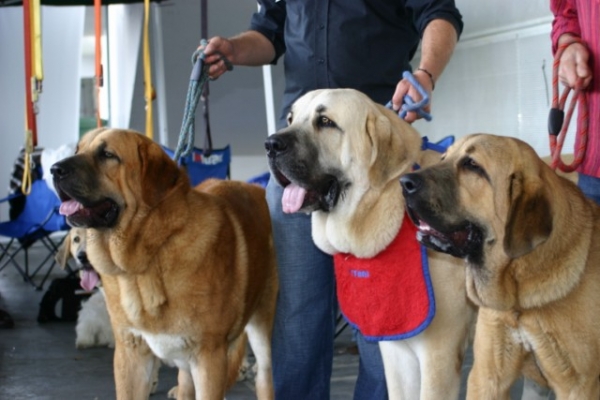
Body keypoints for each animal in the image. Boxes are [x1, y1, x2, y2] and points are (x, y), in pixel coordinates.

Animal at [50, 129, 278, 400]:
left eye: (107, 155)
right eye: (77, 150)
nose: (54, 170)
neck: (148, 257)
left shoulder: (209, 358)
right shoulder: (131, 356)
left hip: (263, 334)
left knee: (265, 378)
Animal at [400, 134, 600, 400]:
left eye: (472, 165)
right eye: (443, 158)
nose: (404, 182)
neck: (519, 294)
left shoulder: (580, 385)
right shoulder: (487, 374)